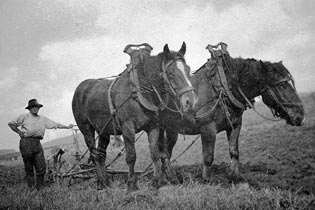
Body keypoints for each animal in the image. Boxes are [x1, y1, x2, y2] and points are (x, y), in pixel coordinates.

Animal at [72, 41, 196, 191]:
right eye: (170, 73)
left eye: (188, 70)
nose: (190, 101)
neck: (140, 89)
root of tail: (80, 88)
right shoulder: (127, 128)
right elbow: (131, 156)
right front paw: (131, 184)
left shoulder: (153, 127)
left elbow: (155, 154)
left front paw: (156, 182)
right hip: (85, 128)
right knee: (94, 153)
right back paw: (101, 182)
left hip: (103, 130)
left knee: (101, 154)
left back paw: (106, 182)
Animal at [160, 42, 306, 184]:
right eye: (281, 85)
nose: (300, 115)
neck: (221, 87)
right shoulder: (208, 129)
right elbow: (208, 157)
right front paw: (207, 180)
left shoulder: (235, 126)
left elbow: (234, 152)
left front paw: (236, 177)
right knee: (163, 153)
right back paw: (170, 178)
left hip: (172, 130)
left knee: (164, 153)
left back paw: (168, 176)